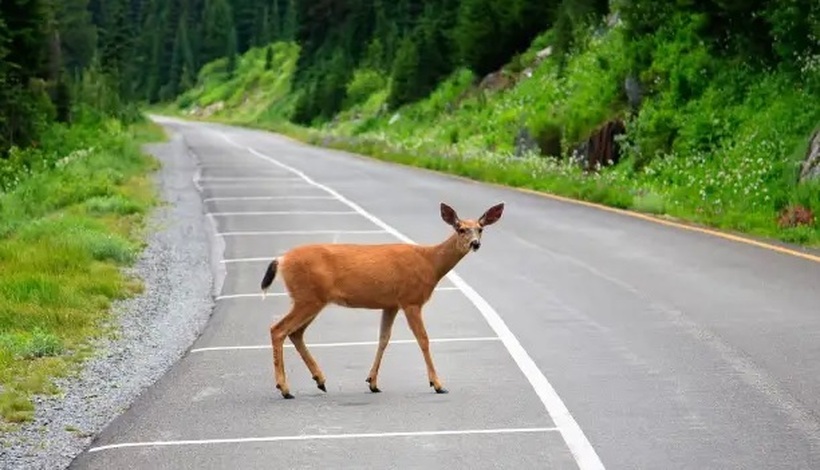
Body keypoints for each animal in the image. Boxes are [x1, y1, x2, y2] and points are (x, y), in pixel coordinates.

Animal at [262, 200, 506, 398]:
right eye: (460, 229)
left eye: (480, 229)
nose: (475, 244)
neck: (430, 263)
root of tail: (281, 260)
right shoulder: (411, 300)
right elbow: (423, 339)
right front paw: (437, 384)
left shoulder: (391, 304)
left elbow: (383, 339)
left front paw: (372, 382)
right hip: (307, 297)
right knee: (278, 329)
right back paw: (285, 389)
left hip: (313, 299)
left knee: (296, 333)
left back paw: (320, 381)